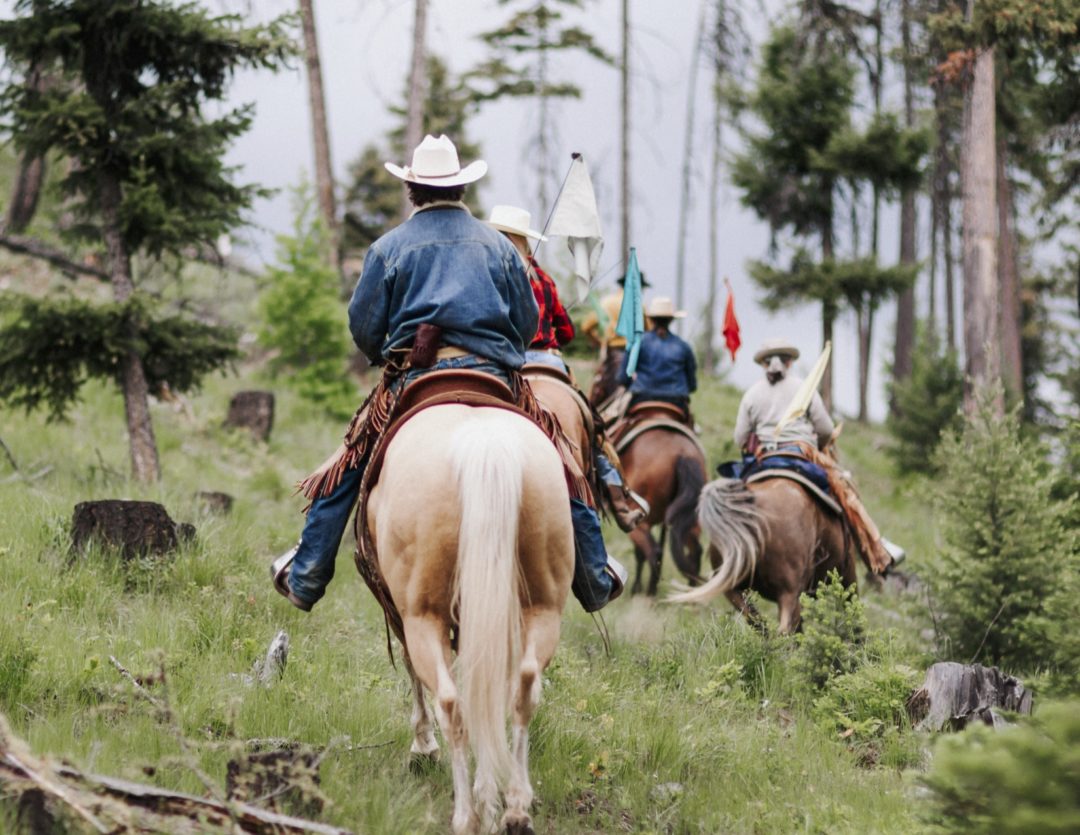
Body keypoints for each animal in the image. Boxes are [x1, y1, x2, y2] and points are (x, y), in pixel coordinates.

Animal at [367, 399, 574, 829]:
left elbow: (416, 673)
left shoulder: (402, 611)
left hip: (424, 615)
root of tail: (485, 445)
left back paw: (466, 816)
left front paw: (424, 747)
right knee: (522, 688)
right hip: (543, 607)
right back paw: (515, 808)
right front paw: (489, 793)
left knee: (451, 703)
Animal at [609, 399, 708, 596]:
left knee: (654, 552)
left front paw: (637, 589)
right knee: (695, 551)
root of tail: (683, 454)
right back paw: (690, 598)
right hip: (689, 520)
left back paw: (648, 595)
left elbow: (640, 553)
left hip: (639, 520)